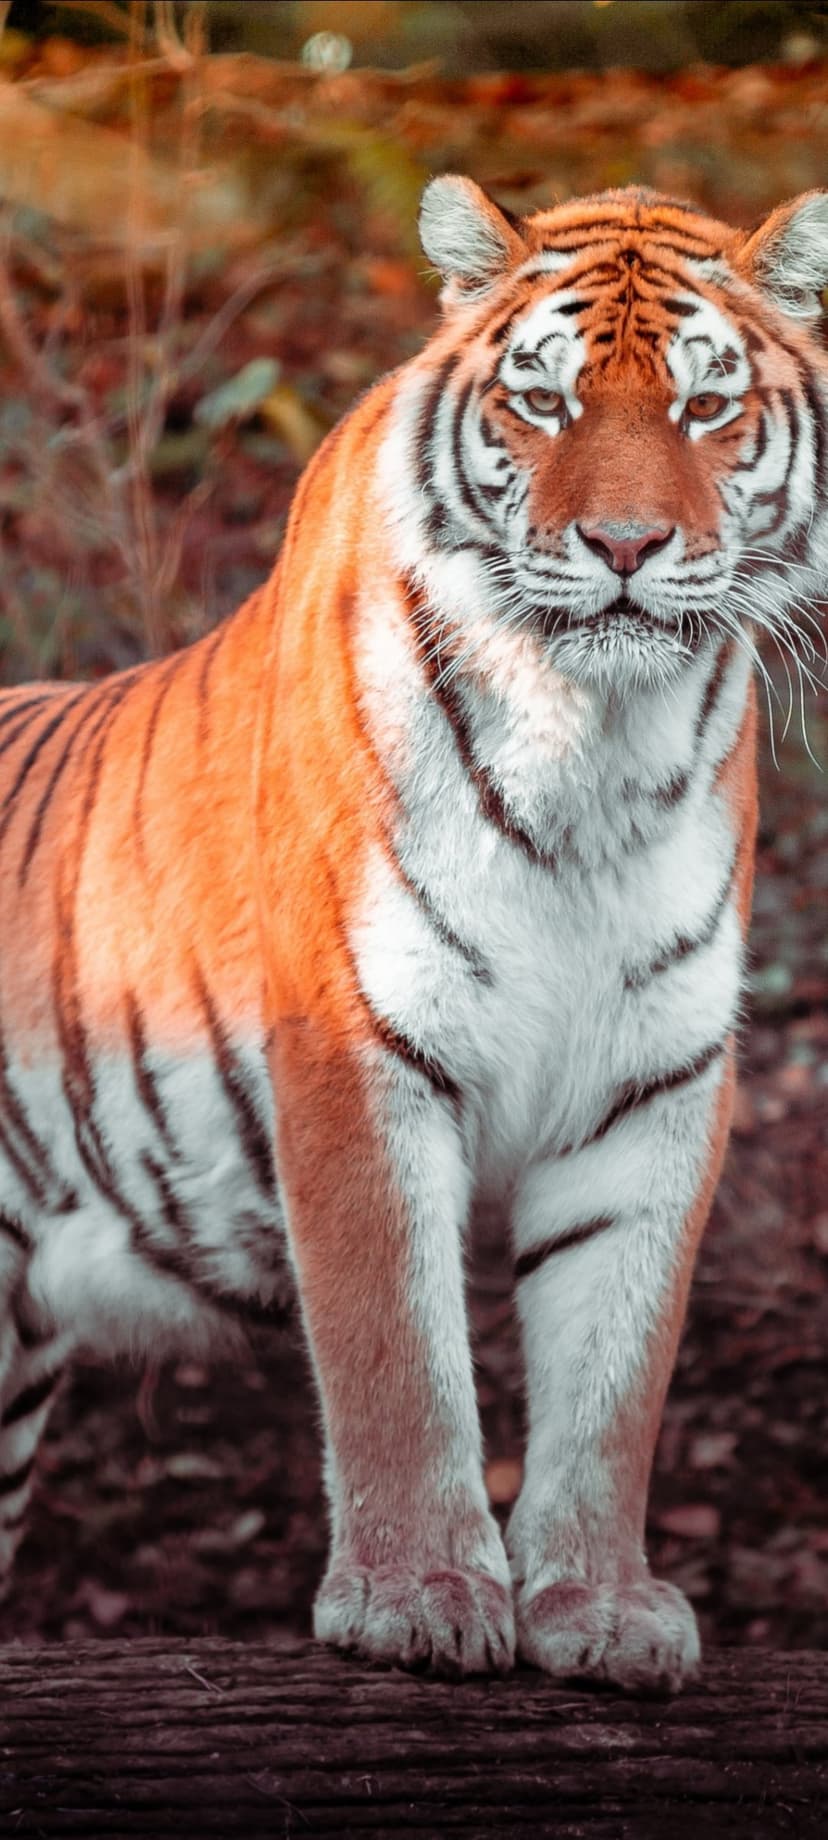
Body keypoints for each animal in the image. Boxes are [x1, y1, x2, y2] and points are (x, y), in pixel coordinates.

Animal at [0, 178, 825, 1691]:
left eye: (703, 407)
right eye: (545, 401)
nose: (626, 549)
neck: (596, 753)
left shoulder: (658, 1084)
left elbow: (616, 1376)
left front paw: (601, 1606)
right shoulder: (355, 1045)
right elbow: (397, 1354)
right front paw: (419, 1596)